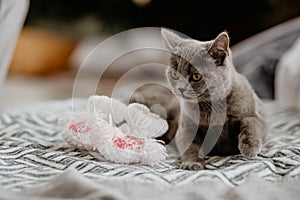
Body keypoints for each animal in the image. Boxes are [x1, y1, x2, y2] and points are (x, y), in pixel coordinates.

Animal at [130, 28, 266, 170]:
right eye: (174, 75)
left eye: (196, 76)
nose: (180, 88)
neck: (211, 107)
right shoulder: (186, 127)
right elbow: (189, 145)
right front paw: (192, 163)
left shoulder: (258, 115)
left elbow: (251, 123)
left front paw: (249, 147)